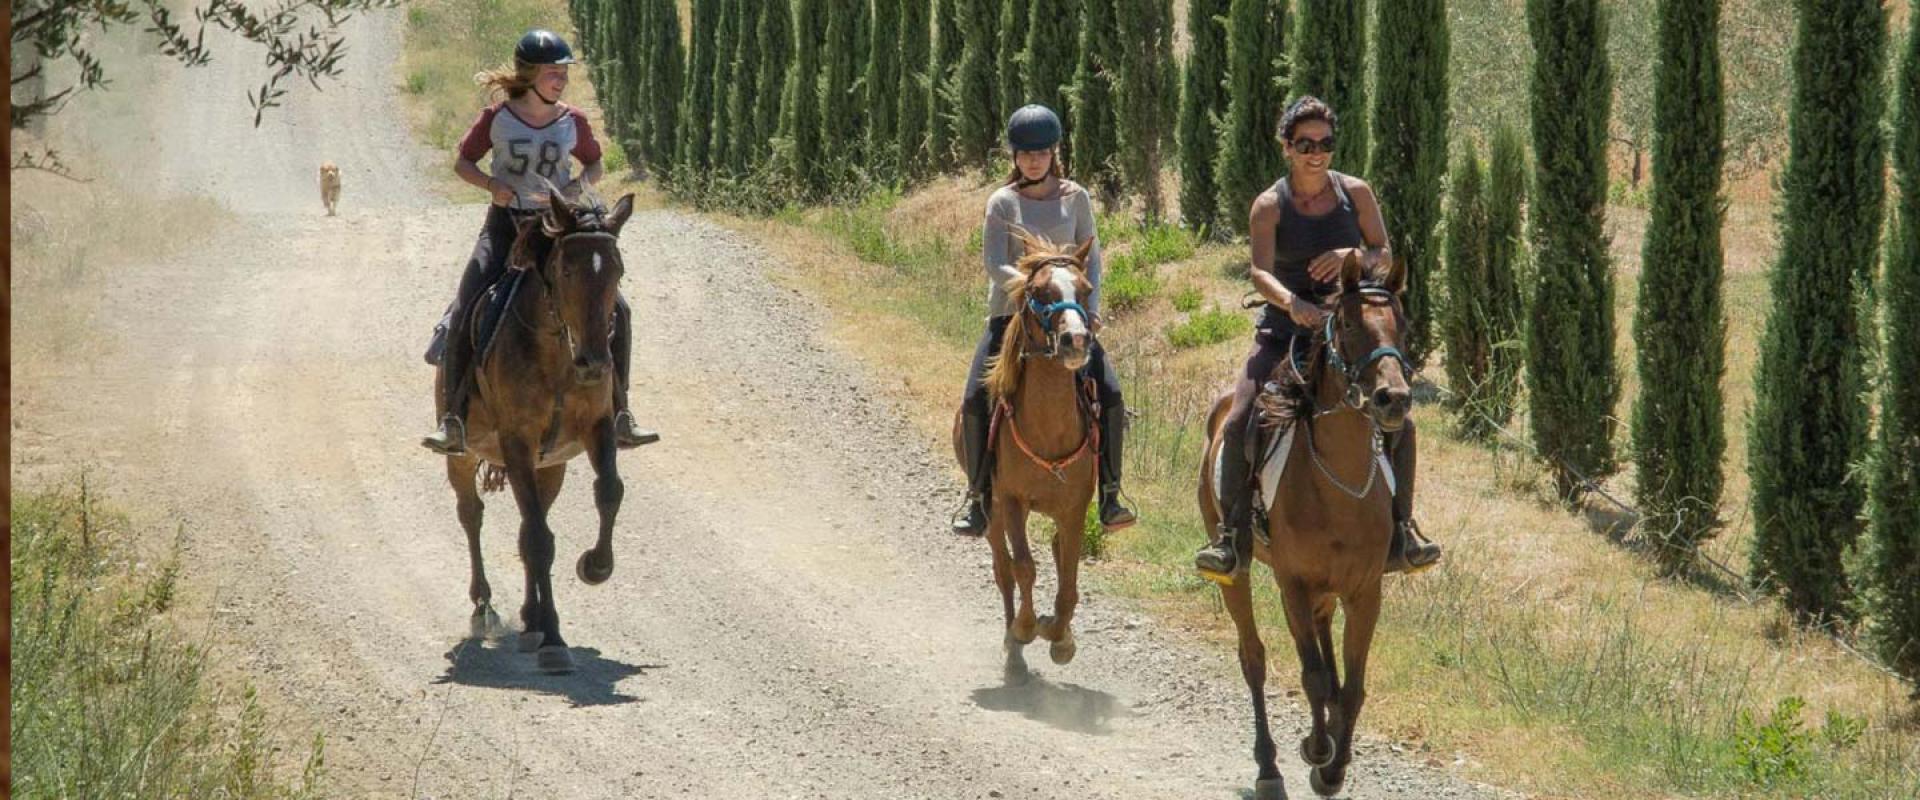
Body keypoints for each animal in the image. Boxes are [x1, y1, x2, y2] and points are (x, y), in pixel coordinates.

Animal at [437, 189, 637, 671]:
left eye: (617, 269)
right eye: (566, 270)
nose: (593, 362)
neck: (558, 354)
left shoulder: (598, 428)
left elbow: (609, 492)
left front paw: (595, 567)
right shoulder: (517, 442)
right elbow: (539, 541)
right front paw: (554, 641)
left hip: (551, 467)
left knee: (532, 524)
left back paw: (531, 620)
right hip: (466, 456)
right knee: (473, 515)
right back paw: (486, 608)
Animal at [956, 232, 1105, 667]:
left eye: (1085, 289)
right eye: (1040, 292)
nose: (1076, 340)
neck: (1048, 430)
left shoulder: (1074, 508)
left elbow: (1069, 579)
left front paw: (1059, 636)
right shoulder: (1011, 500)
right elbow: (1024, 567)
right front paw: (1025, 628)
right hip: (991, 511)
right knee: (1003, 569)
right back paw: (1013, 647)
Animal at [1190, 253, 1420, 794]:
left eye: (1403, 325)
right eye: (1351, 326)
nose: (1394, 399)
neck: (1341, 482)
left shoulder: (1365, 591)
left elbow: (1352, 686)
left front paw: (1334, 768)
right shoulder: (1291, 583)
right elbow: (1311, 675)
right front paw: (1318, 751)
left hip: (1328, 590)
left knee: (1327, 661)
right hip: (1238, 570)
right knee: (1253, 657)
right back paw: (1269, 768)